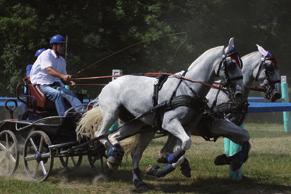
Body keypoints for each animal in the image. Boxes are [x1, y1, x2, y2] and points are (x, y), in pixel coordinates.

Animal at [76, 37, 245, 189]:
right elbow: (184, 145)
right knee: (101, 134)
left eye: (240, 63)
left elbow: (183, 147)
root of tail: (109, 83)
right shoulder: (170, 123)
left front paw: (165, 164)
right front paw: (165, 162)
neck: (187, 88)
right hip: (112, 113)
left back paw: (133, 176)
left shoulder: (187, 127)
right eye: (231, 64)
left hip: (139, 125)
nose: (239, 93)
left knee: (121, 142)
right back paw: (113, 155)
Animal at [157, 44, 282, 177]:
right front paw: (230, 160)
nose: (277, 94)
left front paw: (228, 160)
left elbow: (245, 140)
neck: (227, 93)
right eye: (270, 68)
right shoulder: (218, 125)